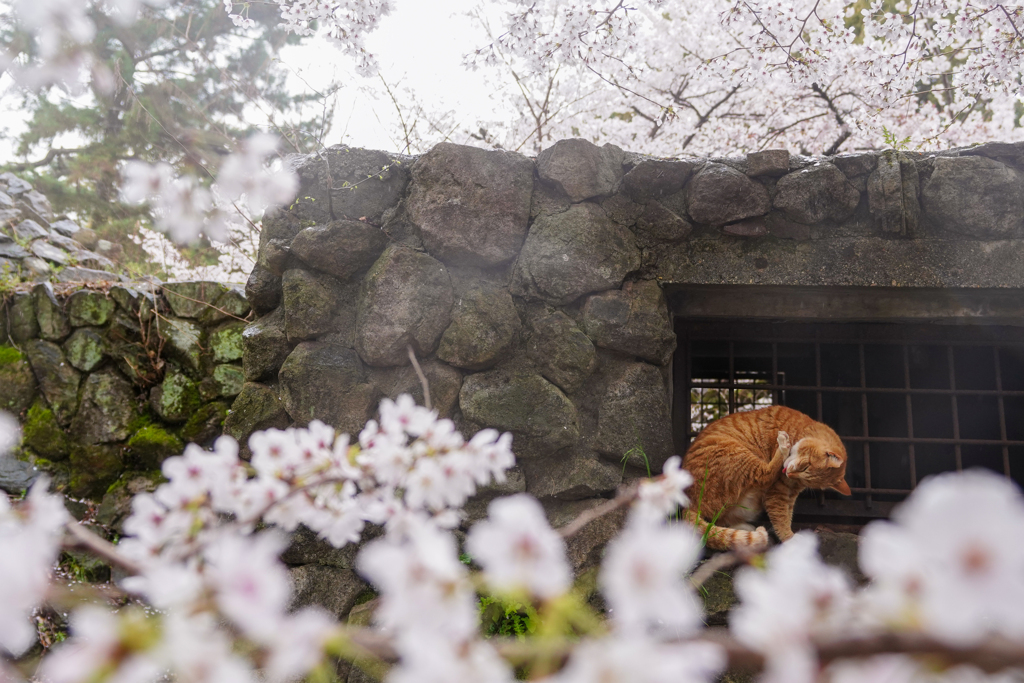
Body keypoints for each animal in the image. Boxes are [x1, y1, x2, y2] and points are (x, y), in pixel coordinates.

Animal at [684, 405, 851, 548]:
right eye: (805, 466)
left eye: (802, 479)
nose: (788, 473)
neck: (803, 429)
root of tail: (688, 503)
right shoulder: (777, 491)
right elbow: (780, 516)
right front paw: (789, 538)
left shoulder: (789, 493)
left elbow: (787, 513)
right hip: (737, 453)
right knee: (764, 475)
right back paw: (783, 445)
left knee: (720, 520)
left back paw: (746, 528)